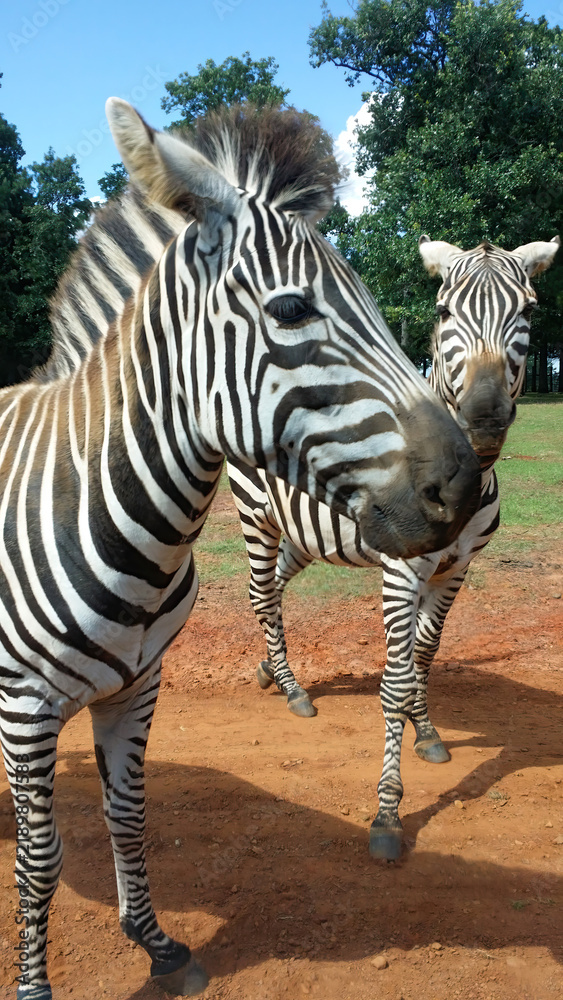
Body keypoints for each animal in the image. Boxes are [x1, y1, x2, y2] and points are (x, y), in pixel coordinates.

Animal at [0, 100, 481, 1000]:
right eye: (291, 310)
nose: (463, 488)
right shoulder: (26, 705)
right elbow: (42, 861)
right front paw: (36, 986)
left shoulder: (138, 685)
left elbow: (128, 815)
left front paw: (157, 945)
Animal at [227, 234, 559, 860]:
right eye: (443, 312)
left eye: (529, 310)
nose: (483, 421)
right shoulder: (403, 572)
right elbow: (397, 678)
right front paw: (388, 812)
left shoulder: (457, 569)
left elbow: (425, 654)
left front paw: (426, 731)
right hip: (257, 516)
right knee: (261, 594)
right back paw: (292, 689)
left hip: (305, 535)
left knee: (275, 589)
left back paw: (268, 669)